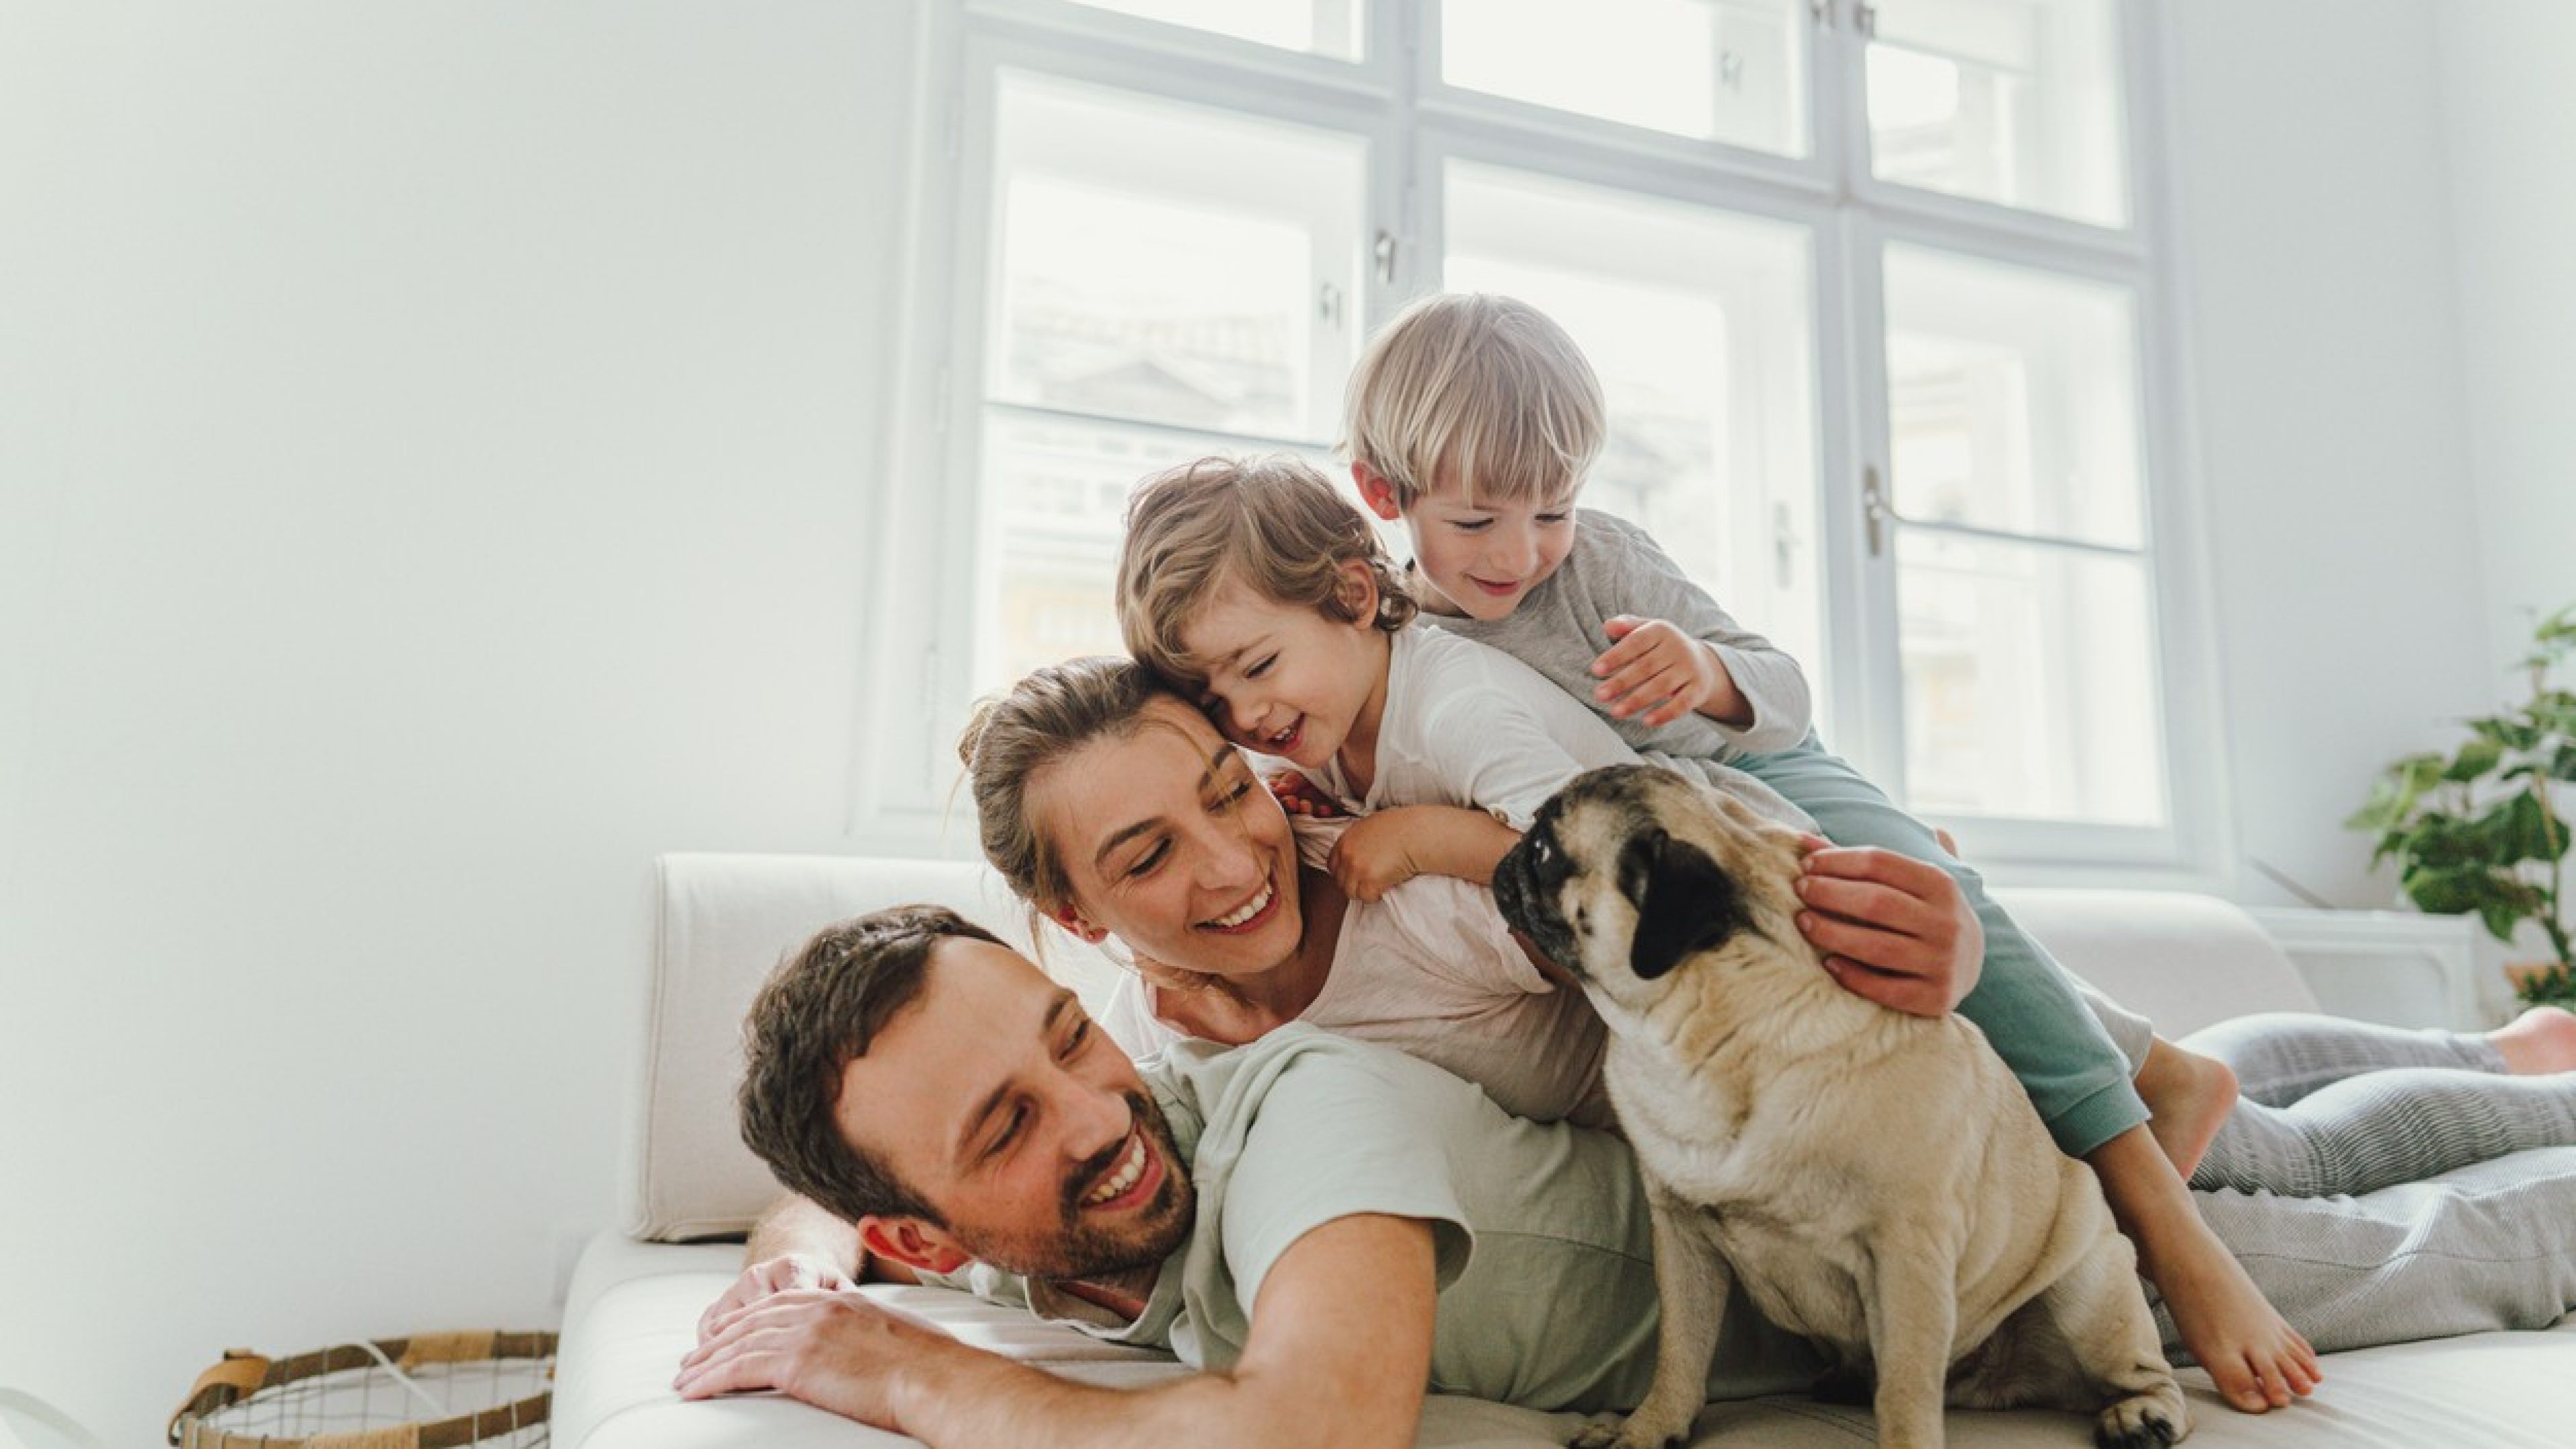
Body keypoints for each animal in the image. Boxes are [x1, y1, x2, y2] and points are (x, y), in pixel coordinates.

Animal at [1494, 763, 2194, 1433]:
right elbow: (1680, 1356)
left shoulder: (1908, 1257)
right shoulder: (1683, 1238)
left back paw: (2142, 1414)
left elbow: (1906, 1399)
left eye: (1546, 849)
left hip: (2089, 1291)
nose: (1509, 851)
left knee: (2146, 1373)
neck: (1707, 1036)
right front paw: (1648, 1431)